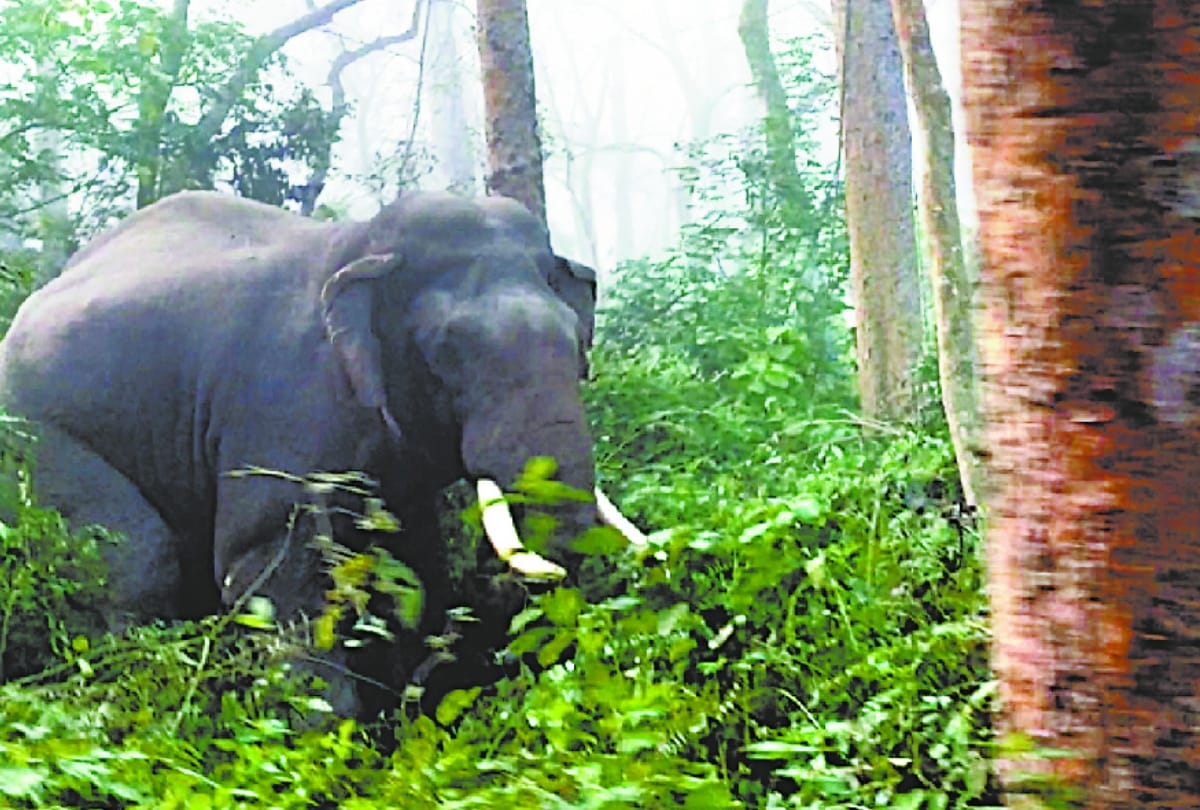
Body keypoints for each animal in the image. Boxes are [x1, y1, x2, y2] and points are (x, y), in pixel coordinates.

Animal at [0, 189, 643, 712]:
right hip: (36, 436)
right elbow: (271, 566)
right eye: (448, 350)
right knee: (139, 560)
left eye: (578, 342)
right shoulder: (283, 406)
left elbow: (411, 568)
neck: (359, 247)